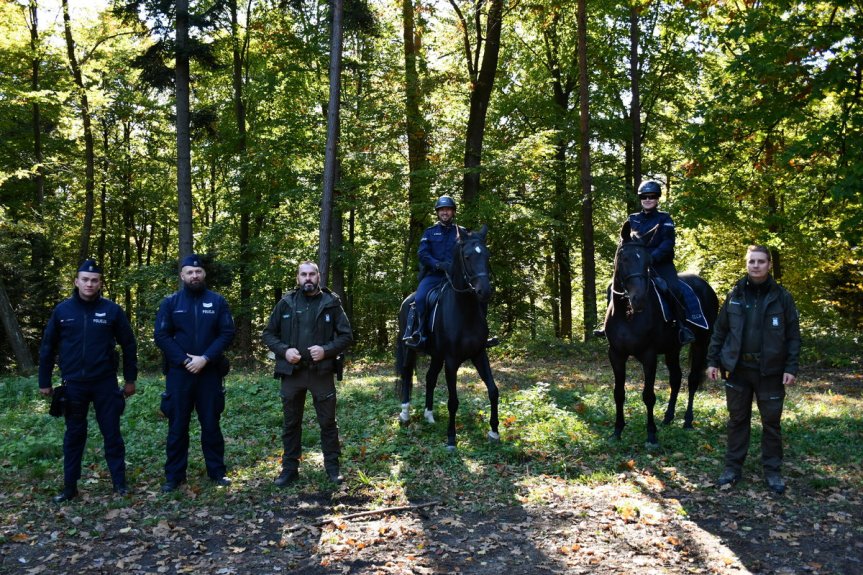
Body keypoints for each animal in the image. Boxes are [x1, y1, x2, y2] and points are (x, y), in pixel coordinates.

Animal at [396, 224, 500, 450]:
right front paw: (451, 438)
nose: (485, 291)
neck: (465, 311)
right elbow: (453, 401)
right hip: (409, 349)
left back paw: (429, 415)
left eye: (487, 255)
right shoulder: (452, 360)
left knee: (430, 378)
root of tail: (407, 300)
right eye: (468, 257)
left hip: (436, 355)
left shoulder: (479, 354)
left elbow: (493, 390)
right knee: (407, 374)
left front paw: (494, 431)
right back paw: (405, 413)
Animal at [604, 223, 720, 448]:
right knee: (676, 379)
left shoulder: (649, 356)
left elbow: (648, 395)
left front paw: (651, 434)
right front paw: (617, 430)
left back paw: (687, 420)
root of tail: (706, 286)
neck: (627, 314)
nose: (638, 299)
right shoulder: (616, 355)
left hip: (701, 343)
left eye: (648, 261)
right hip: (672, 349)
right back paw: (668, 417)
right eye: (624, 258)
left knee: (692, 380)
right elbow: (618, 393)